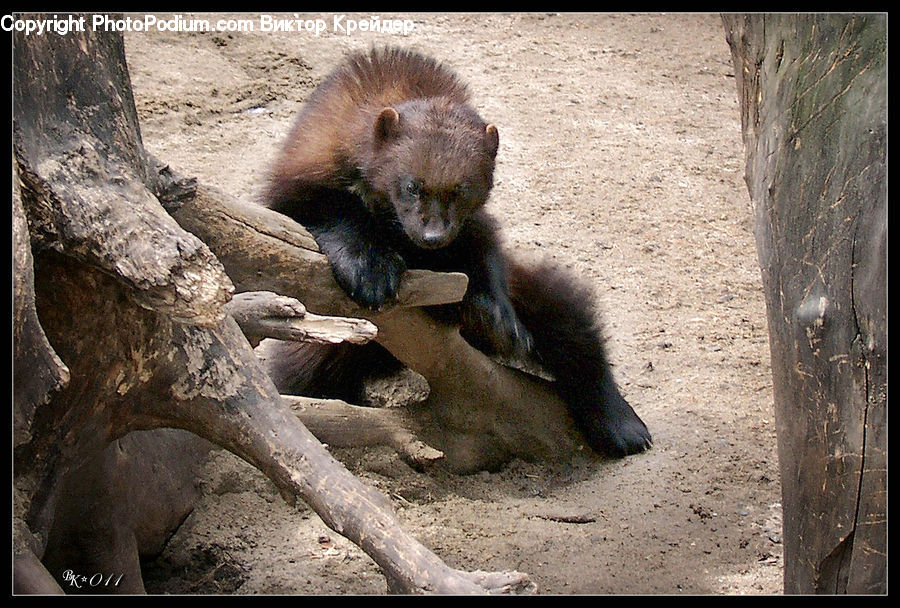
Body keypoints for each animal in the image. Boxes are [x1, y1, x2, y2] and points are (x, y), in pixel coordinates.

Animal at [262, 47, 651, 457]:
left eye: (461, 189)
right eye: (412, 185)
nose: (432, 234)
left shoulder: (472, 227)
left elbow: (484, 252)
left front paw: (494, 315)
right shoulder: (302, 175)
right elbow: (328, 212)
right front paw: (369, 267)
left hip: (542, 297)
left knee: (577, 335)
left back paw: (621, 424)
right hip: (323, 351)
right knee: (304, 376)